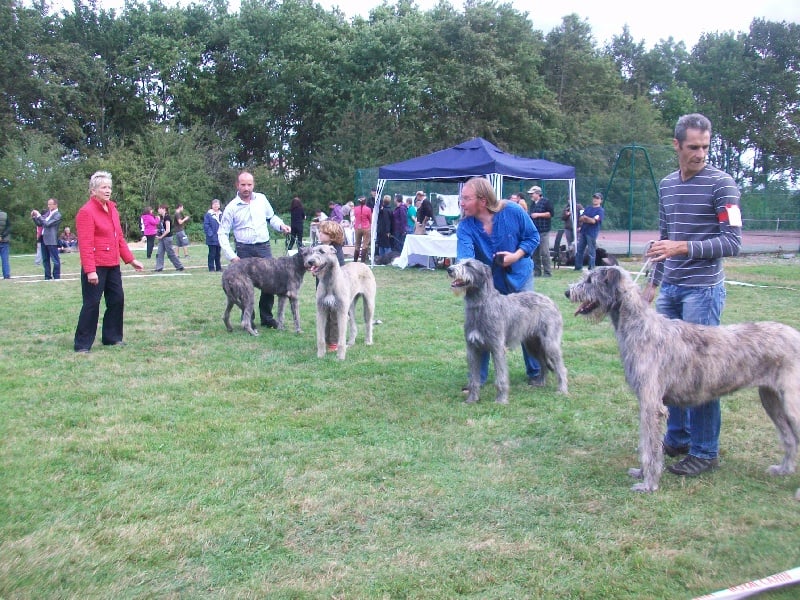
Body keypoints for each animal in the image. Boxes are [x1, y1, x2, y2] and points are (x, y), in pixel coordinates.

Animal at [447, 258, 568, 404]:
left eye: (469, 265)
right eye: (459, 261)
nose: (449, 269)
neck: (481, 305)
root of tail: (550, 300)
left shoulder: (497, 347)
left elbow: (501, 377)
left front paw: (501, 400)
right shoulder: (472, 348)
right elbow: (473, 378)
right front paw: (471, 399)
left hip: (549, 343)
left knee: (560, 367)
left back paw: (562, 389)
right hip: (532, 344)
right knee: (543, 363)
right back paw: (540, 383)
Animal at [565, 266, 800, 494]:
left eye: (590, 280)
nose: (567, 292)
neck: (639, 326)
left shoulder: (651, 405)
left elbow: (650, 447)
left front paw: (649, 484)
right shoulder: (648, 404)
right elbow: (646, 442)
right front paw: (641, 473)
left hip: (791, 403)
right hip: (770, 399)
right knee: (789, 438)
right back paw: (783, 469)